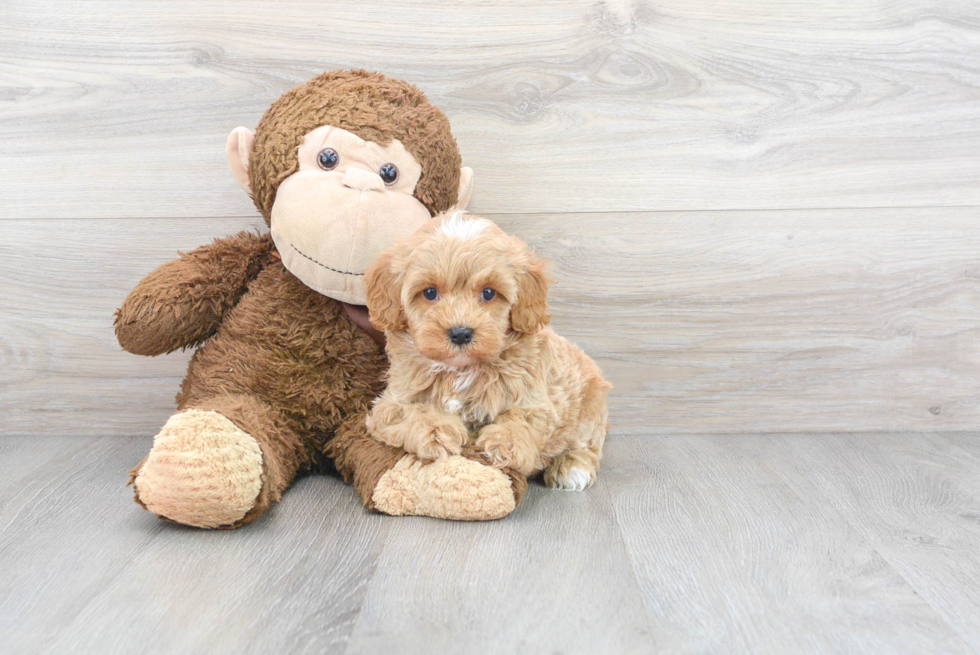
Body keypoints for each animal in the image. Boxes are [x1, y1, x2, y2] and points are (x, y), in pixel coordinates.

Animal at [366, 213, 608, 490]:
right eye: (429, 292)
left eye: (489, 293)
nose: (460, 333)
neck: (459, 369)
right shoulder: (390, 402)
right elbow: (411, 411)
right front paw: (435, 430)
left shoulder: (538, 400)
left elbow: (521, 416)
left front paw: (505, 442)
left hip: (591, 407)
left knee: (586, 442)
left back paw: (573, 467)